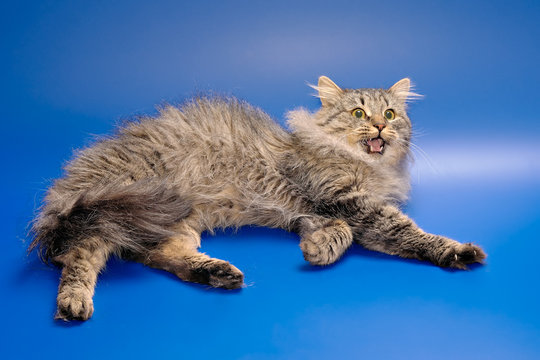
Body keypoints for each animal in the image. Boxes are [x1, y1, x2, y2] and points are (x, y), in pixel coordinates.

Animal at [28, 76, 486, 320]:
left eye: (390, 114)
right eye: (359, 114)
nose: (378, 126)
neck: (364, 165)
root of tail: (70, 182)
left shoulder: (320, 211)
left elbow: (337, 232)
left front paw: (318, 248)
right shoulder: (347, 203)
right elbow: (403, 233)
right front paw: (456, 251)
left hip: (170, 222)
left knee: (156, 256)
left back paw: (216, 273)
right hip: (120, 204)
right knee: (82, 253)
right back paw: (73, 301)